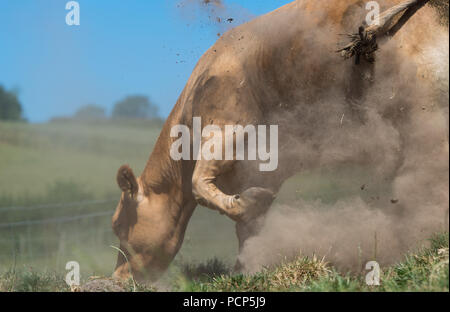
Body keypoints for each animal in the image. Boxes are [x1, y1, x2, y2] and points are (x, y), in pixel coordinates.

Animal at [111, 0, 440, 282]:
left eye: (117, 225)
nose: (116, 278)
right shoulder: (261, 169)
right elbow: (247, 227)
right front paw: (247, 266)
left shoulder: (227, 132)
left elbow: (200, 186)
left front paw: (250, 205)